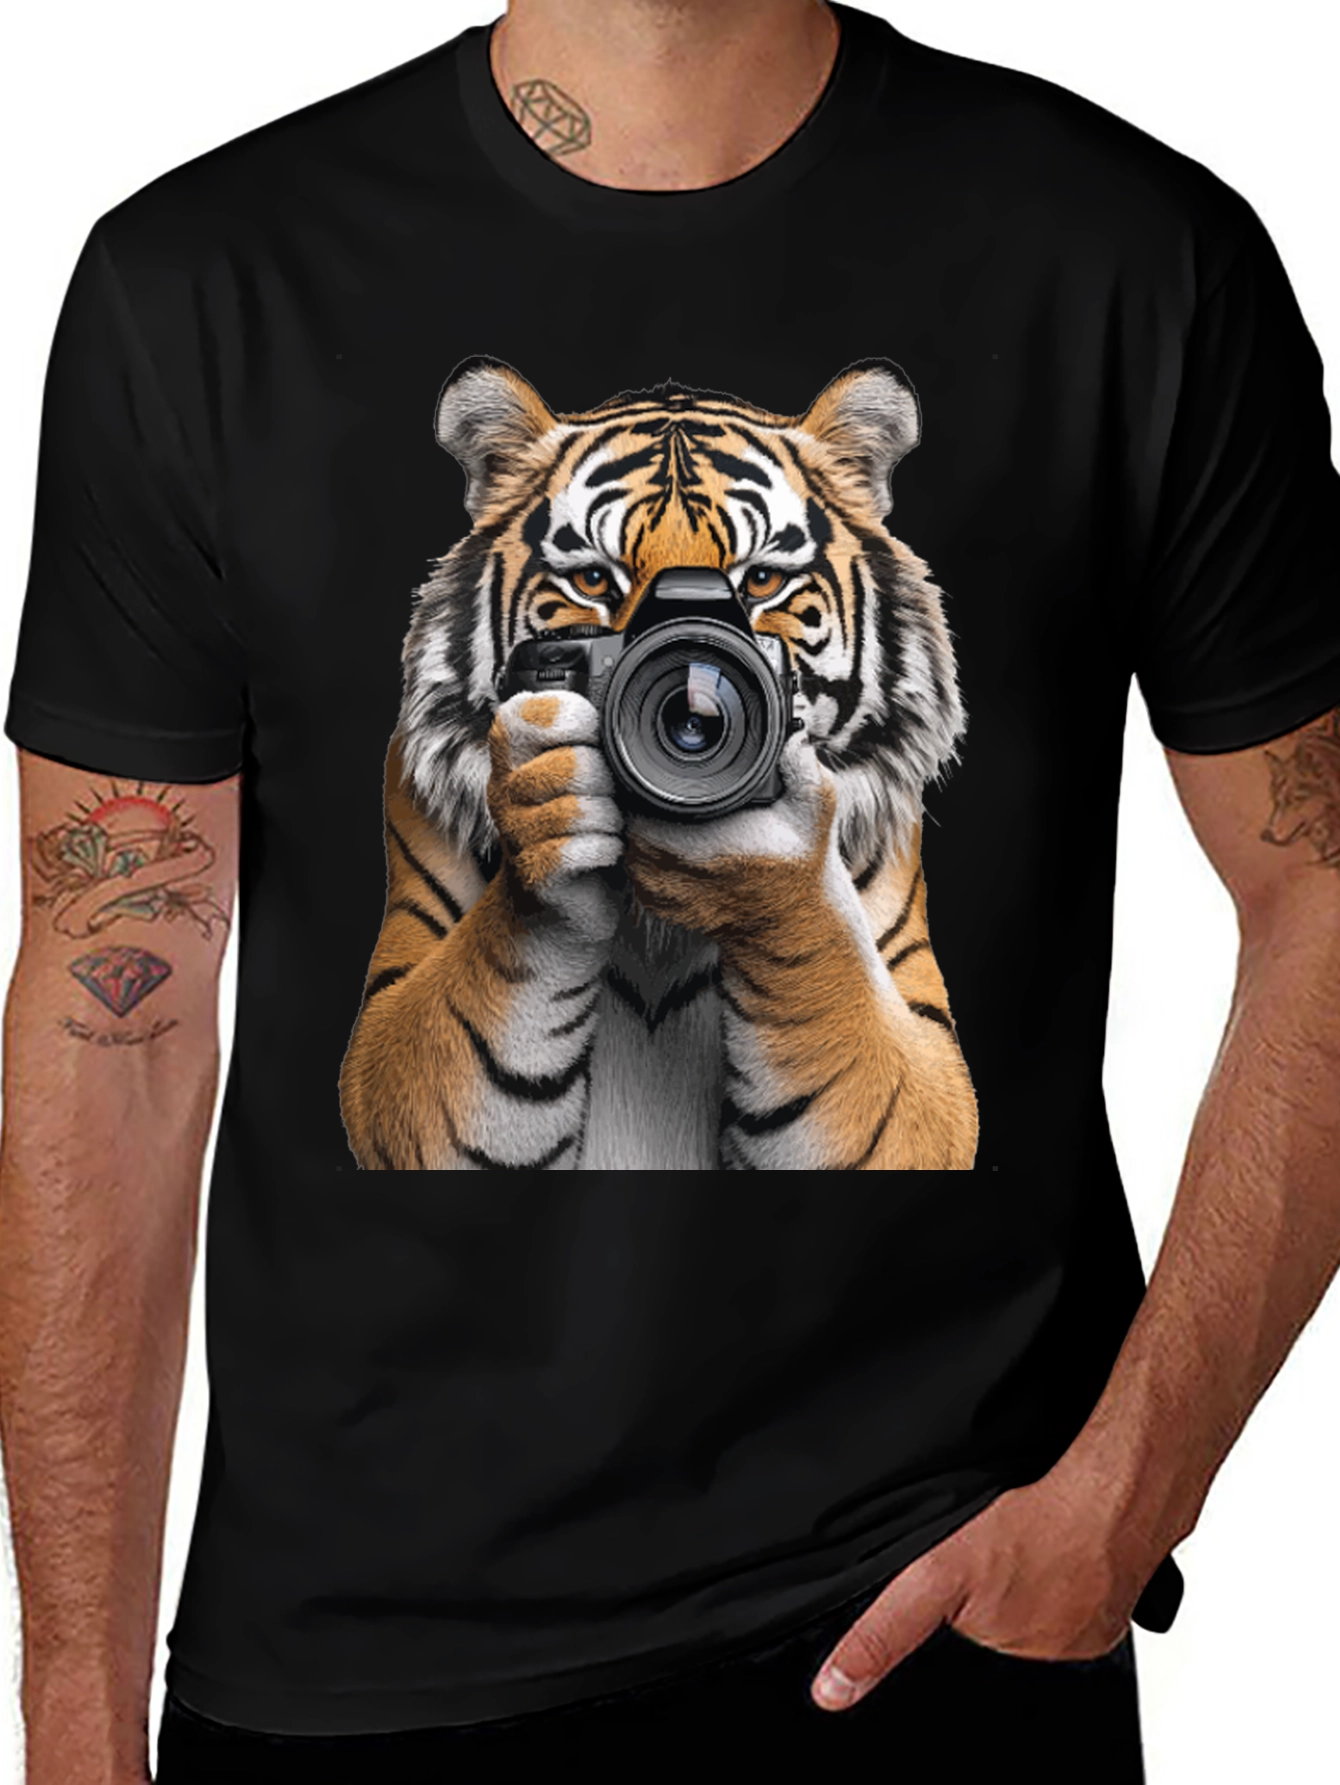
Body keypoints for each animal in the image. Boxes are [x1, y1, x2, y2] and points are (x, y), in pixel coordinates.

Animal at [338, 365, 979, 1171]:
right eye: (591, 580)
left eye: (762, 580)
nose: (695, 718)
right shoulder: (392, 1051)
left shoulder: (926, 1079)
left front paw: (772, 885)